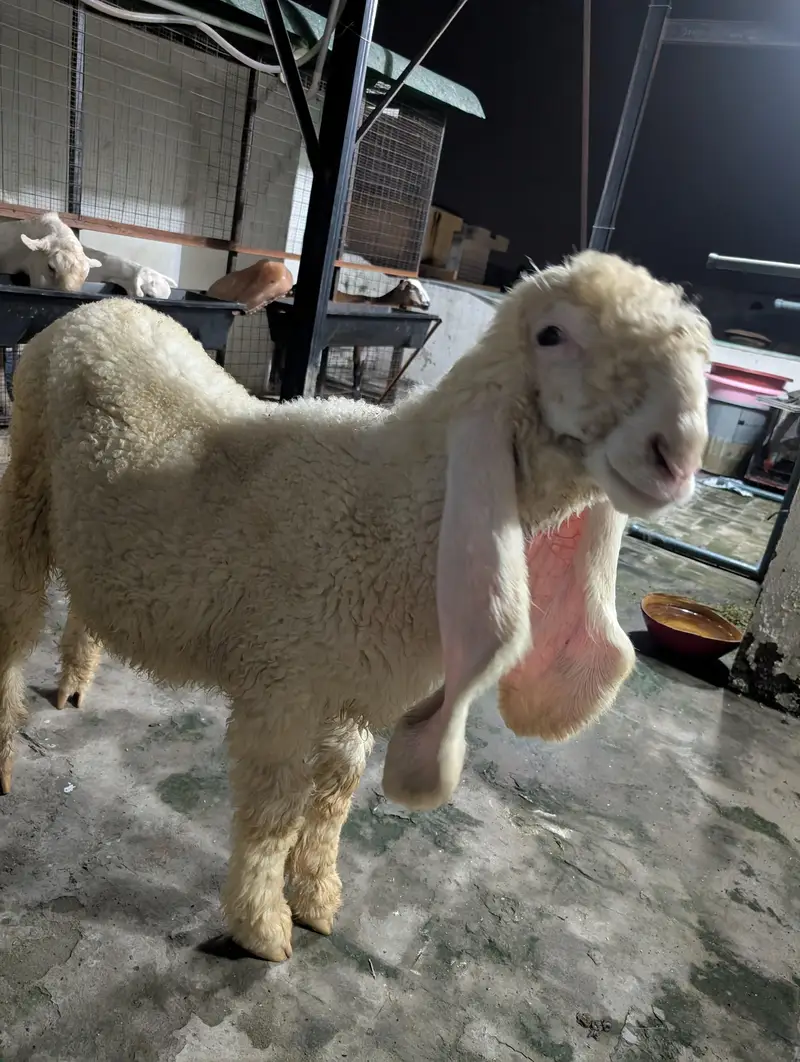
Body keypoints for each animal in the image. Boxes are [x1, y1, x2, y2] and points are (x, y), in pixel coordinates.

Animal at [0, 250, 710, 962]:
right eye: (552, 335)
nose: (677, 457)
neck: (399, 507)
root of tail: (105, 310)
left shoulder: (351, 691)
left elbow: (335, 793)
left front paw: (317, 898)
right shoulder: (281, 684)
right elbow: (274, 809)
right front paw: (263, 928)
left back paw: (74, 684)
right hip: (27, 486)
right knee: (14, 627)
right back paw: (5, 760)